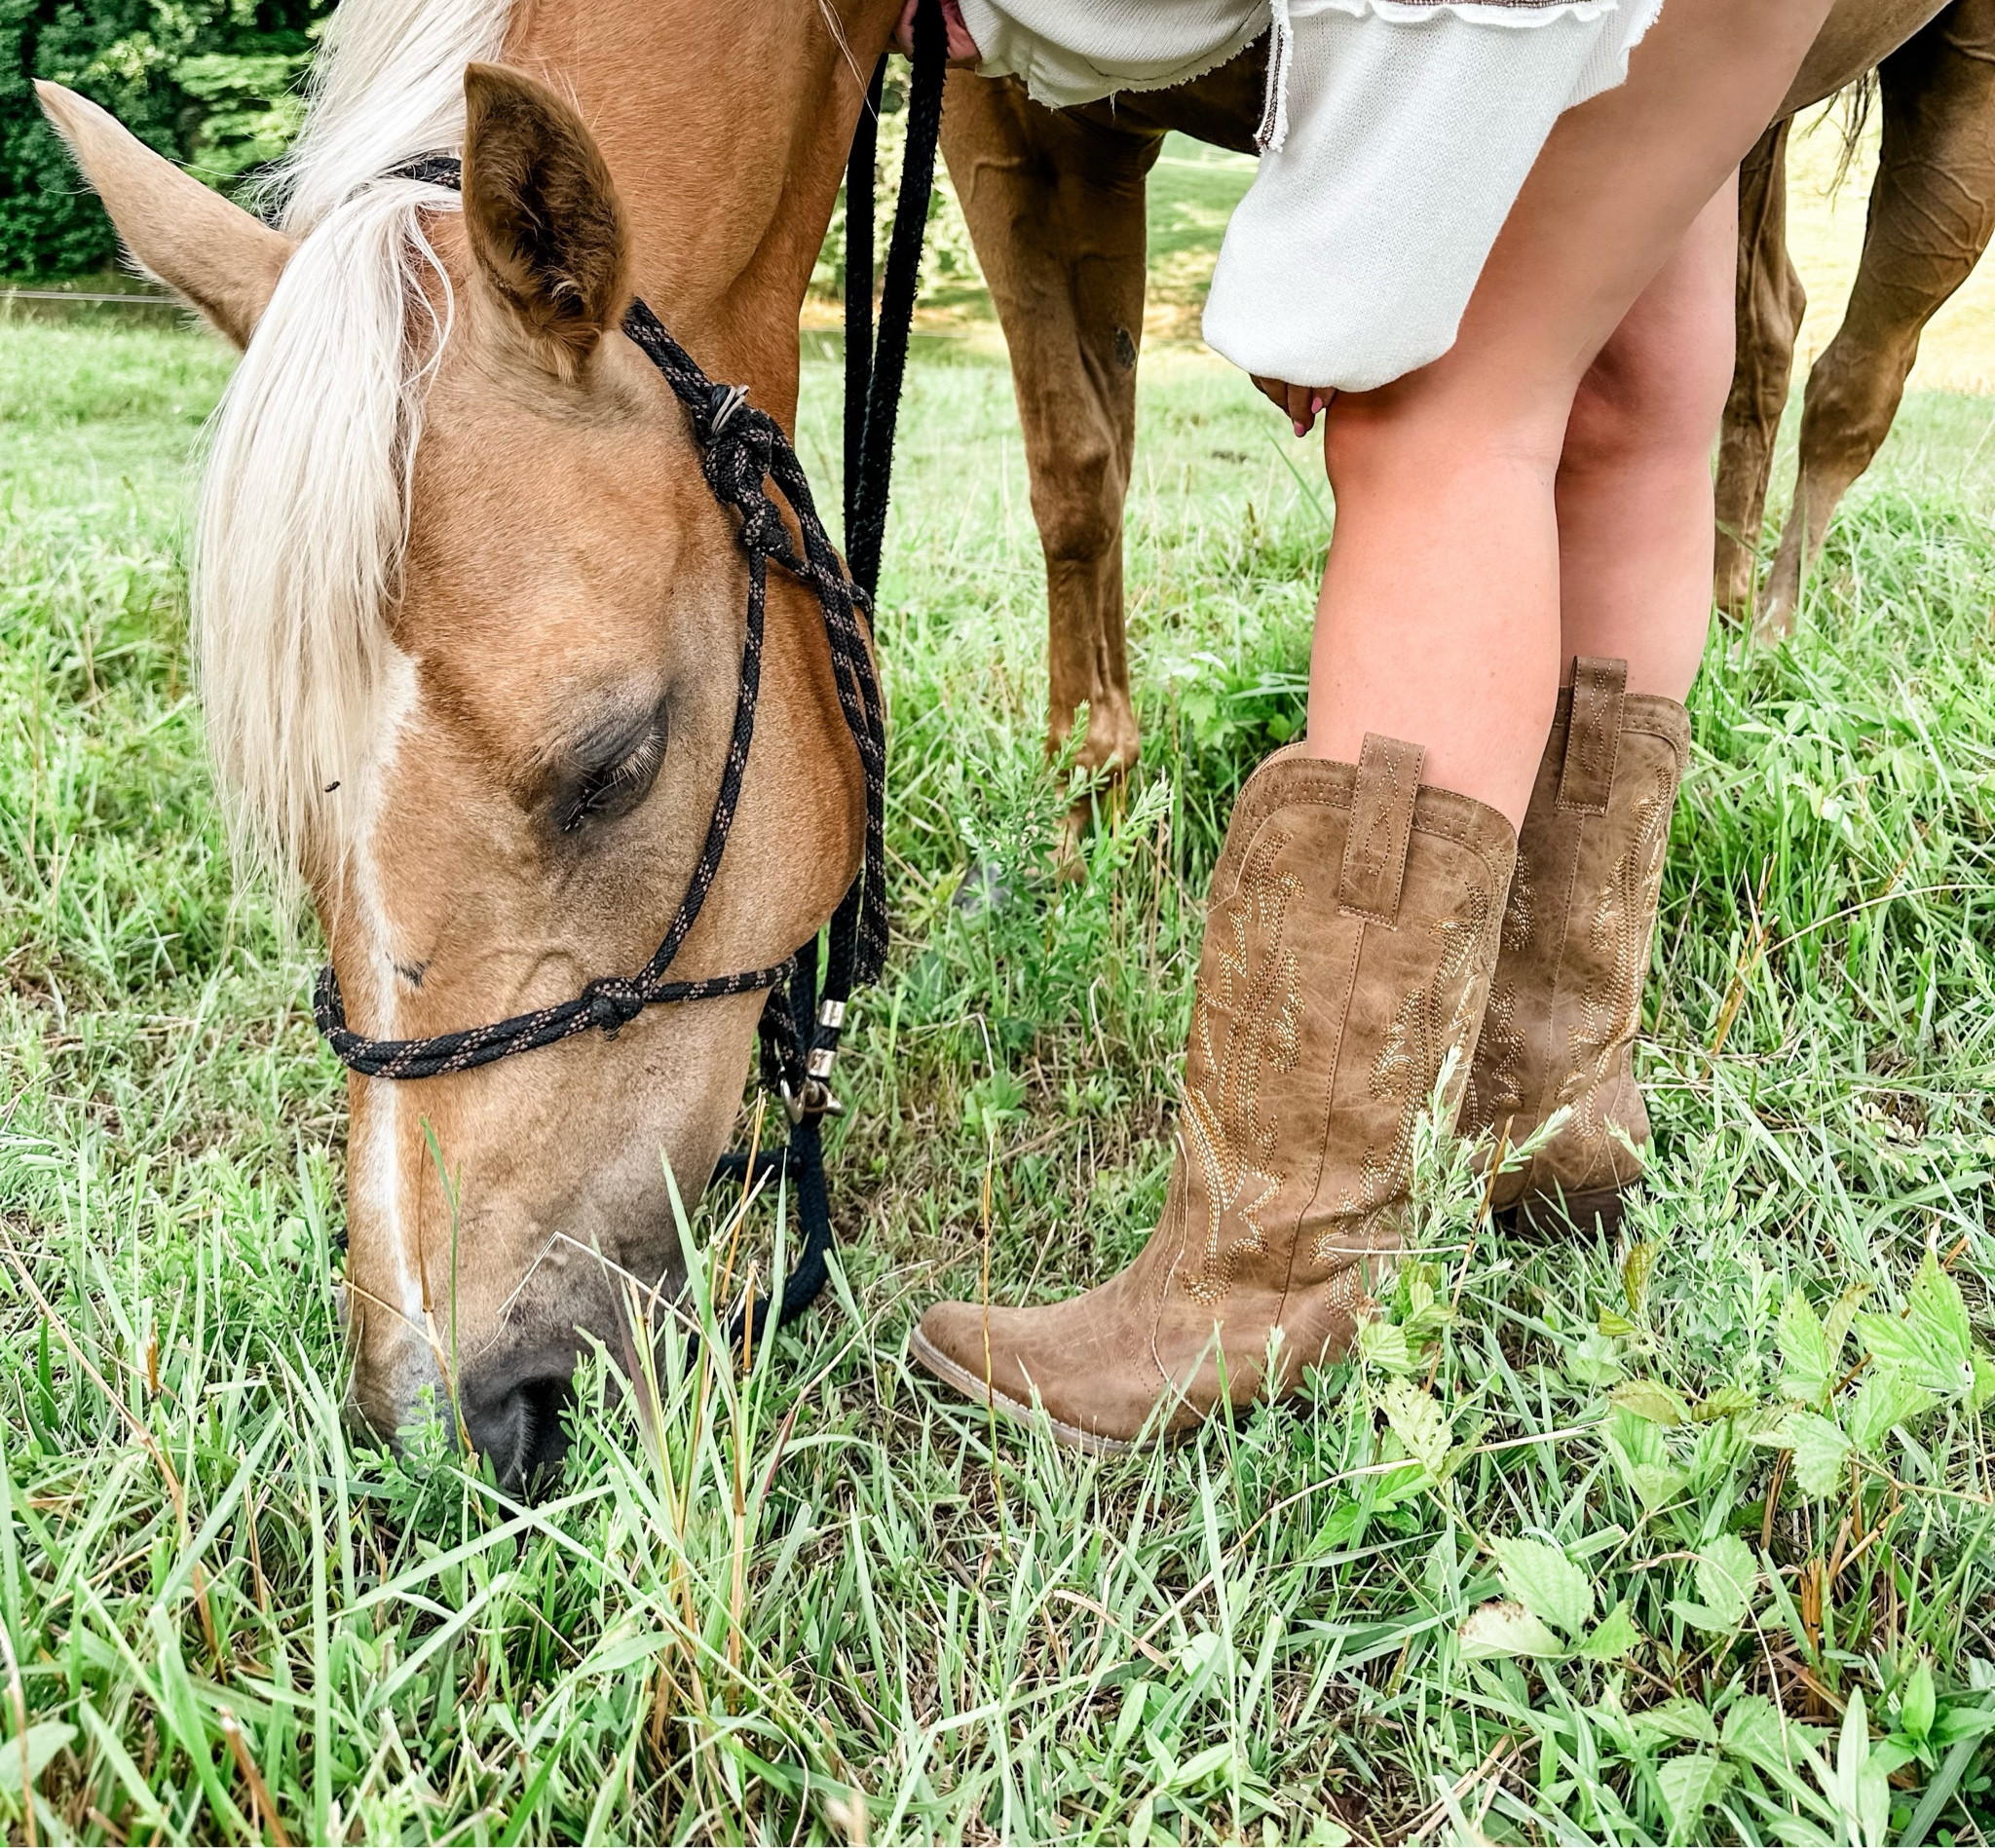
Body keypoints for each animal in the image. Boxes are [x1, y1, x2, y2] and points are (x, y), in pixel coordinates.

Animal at [940, 0, 1957, 786]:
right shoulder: (1019, 119)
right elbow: (1082, 468)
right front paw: (1087, 791)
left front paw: (1085, 791)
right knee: (1758, 335)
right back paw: (1728, 604)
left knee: (1855, 386)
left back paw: (1777, 631)